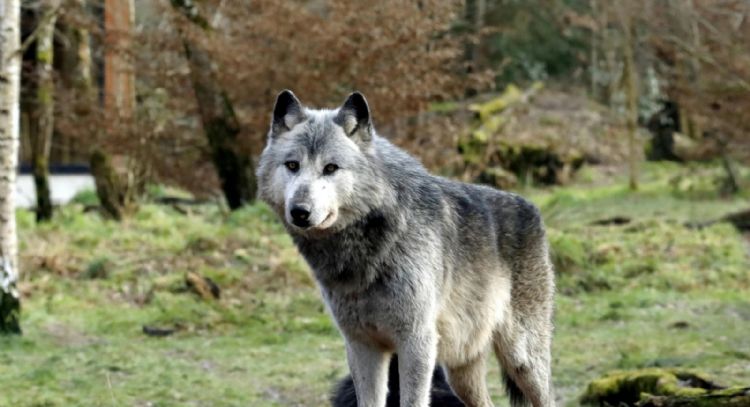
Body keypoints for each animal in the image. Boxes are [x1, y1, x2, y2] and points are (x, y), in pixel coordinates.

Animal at [256, 90, 555, 407]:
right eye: (292, 165)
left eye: (330, 168)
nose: (299, 211)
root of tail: (530, 206)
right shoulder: (362, 345)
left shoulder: (416, 342)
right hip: (461, 371)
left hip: (522, 359)